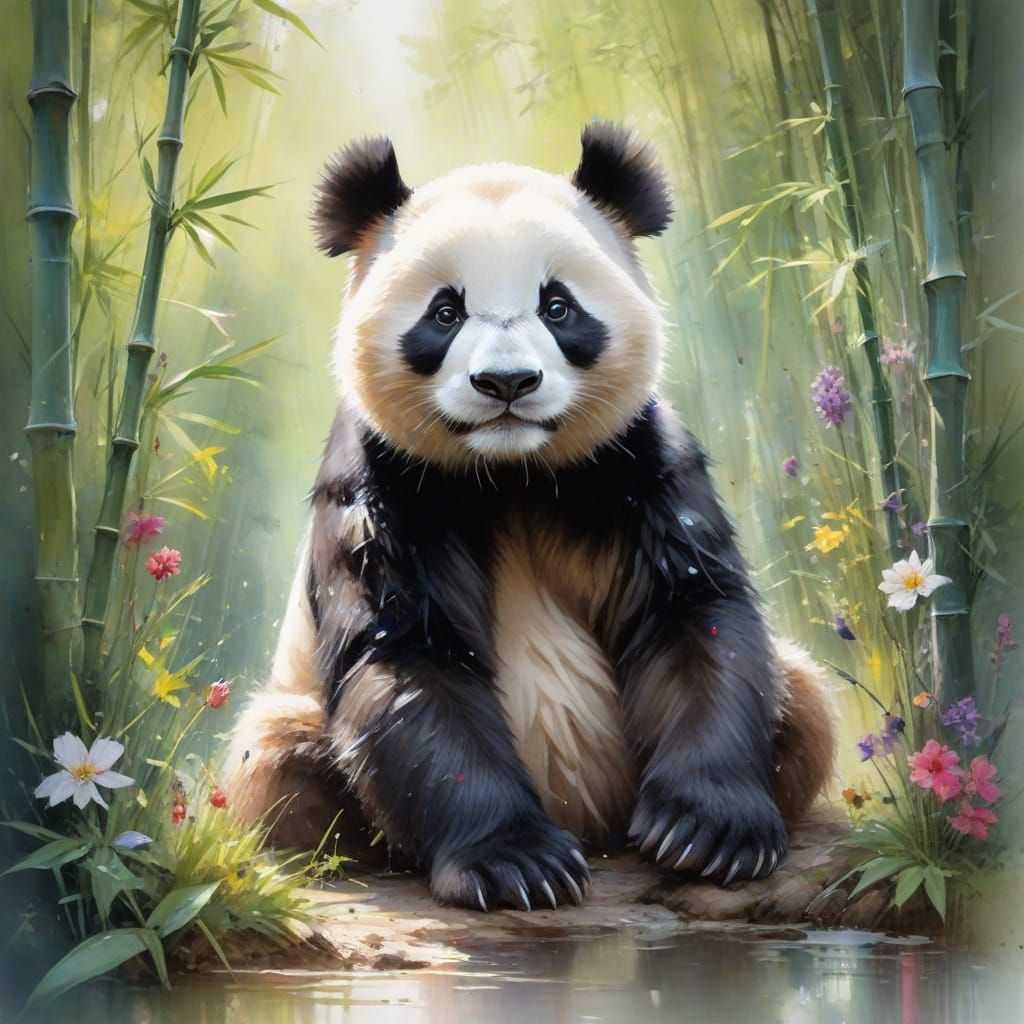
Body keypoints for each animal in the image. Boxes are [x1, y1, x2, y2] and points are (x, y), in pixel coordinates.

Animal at [228, 122, 836, 912]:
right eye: (445, 312)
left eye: (558, 306)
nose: (507, 382)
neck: (509, 474)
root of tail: (595, 824)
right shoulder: (380, 481)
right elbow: (408, 655)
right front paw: (516, 863)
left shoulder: (634, 460)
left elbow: (691, 611)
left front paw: (707, 832)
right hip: (293, 717)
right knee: (277, 761)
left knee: (803, 697)